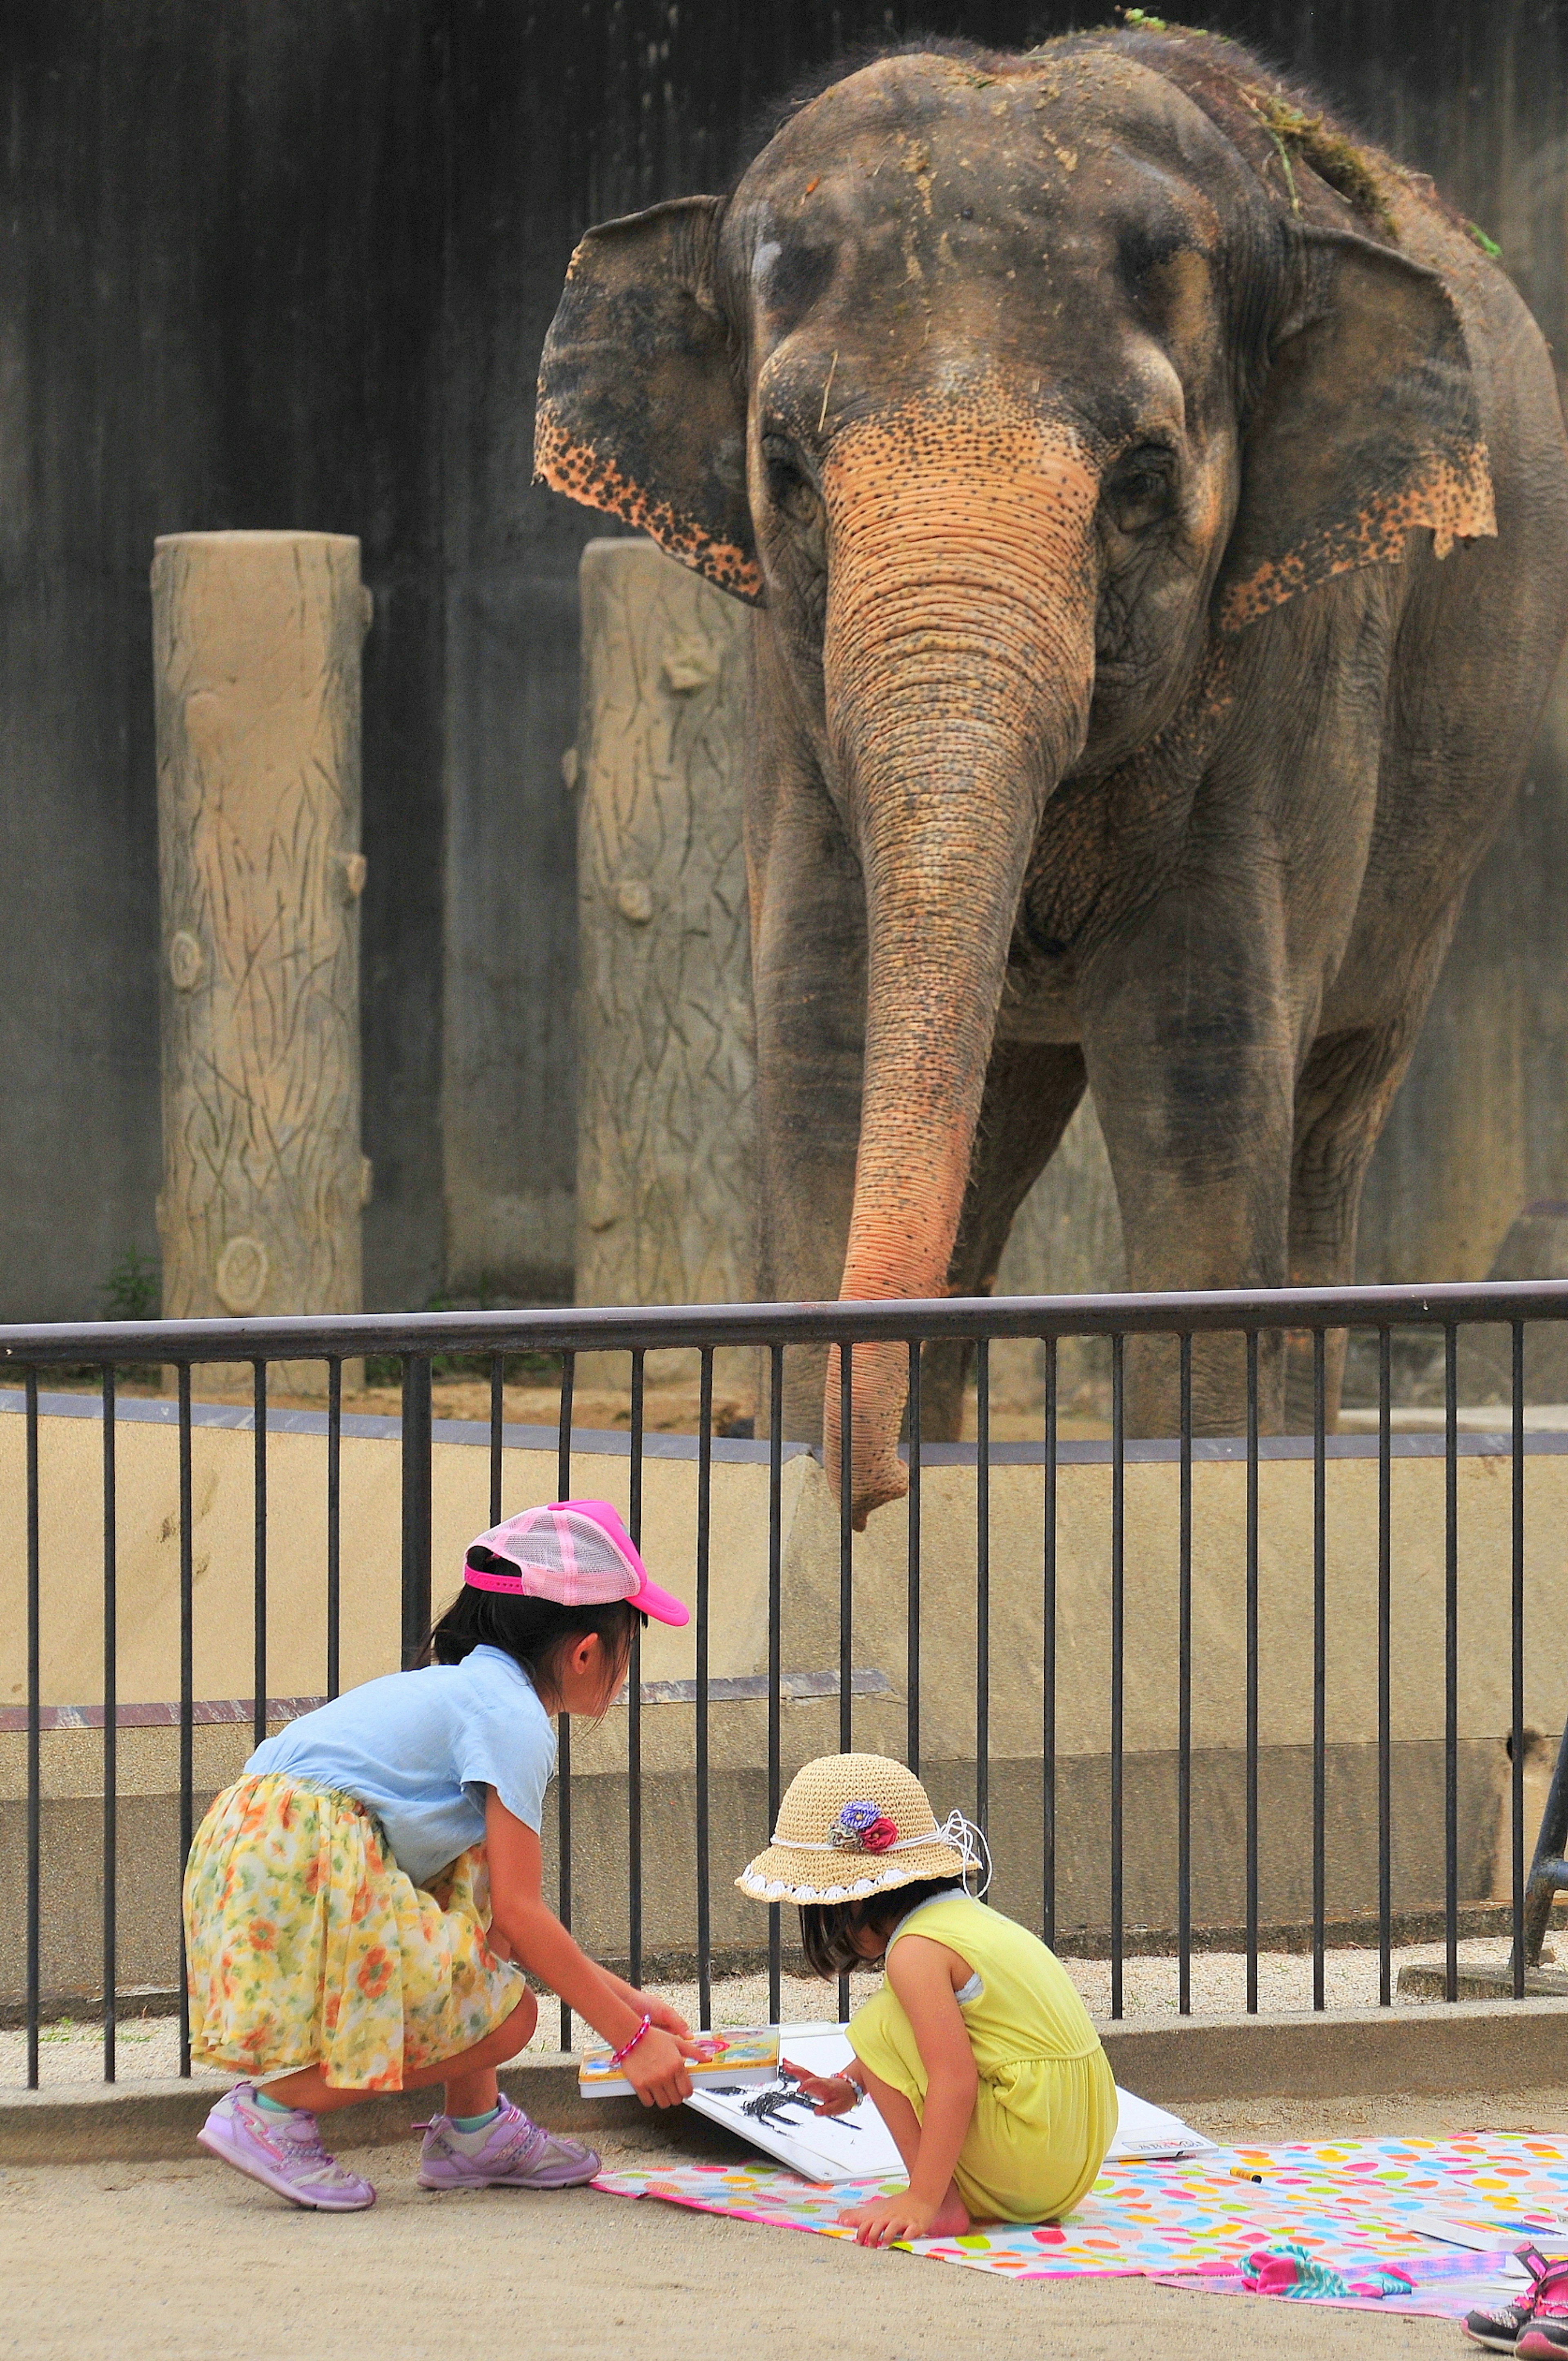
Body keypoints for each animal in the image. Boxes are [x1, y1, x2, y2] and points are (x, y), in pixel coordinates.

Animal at [538, 23, 1568, 1530]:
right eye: (785, 473)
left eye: (1140, 482)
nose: (874, 1496)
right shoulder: (789, 697)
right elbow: (828, 1034)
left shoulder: (1301, 648)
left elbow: (1202, 1070)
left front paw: (1205, 1491)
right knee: (999, 1123)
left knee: (1326, 1114)